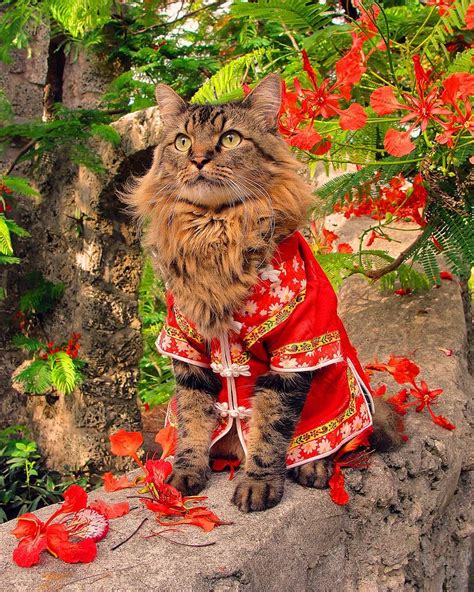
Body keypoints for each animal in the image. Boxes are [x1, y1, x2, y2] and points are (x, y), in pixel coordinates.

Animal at [125, 74, 400, 512]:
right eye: (182, 141)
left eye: (230, 139)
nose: (197, 159)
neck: (215, 230)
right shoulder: (186, 347)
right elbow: (193, 421)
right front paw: (185, 473)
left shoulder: (293, 349)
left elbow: (269, 431)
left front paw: (257, 483)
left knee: (336, 445)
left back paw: (314, 467)